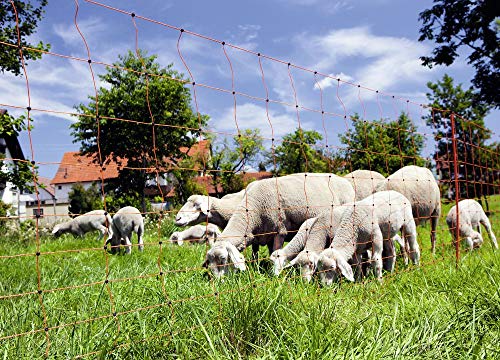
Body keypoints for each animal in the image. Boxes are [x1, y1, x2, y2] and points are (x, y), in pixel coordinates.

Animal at [203, 173, 356, 278]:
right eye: (210, 261)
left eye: (223, 259)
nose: (219, 282)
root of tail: (343, 180)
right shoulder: (259, 235)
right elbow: (256, 254)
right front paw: (257, 267)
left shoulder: (279, 231)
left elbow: (276, 251)